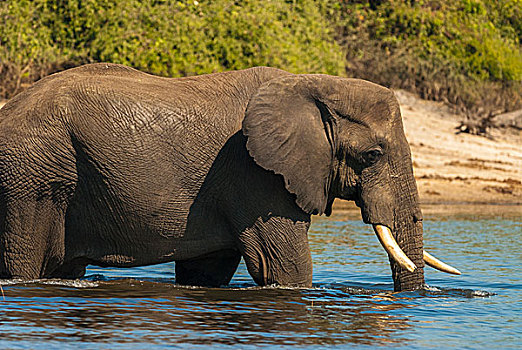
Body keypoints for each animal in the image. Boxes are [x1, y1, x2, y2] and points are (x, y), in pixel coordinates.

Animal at [0, 63, 458, 290]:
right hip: (31, 178)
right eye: (372, 155)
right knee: (24, 263)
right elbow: (284, 267)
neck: (314, 84)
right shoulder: (255, 175)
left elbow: (208, 272)